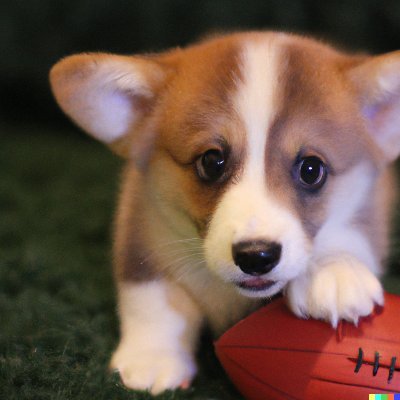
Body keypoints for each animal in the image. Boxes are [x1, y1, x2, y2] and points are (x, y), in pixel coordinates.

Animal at [50, 31, 400, 394]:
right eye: (211, 161)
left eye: (311, 169)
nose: (256, 256)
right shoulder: (142, 231)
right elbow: (152, 299)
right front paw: (152, 359)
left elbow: (351, 230)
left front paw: (334, 272)